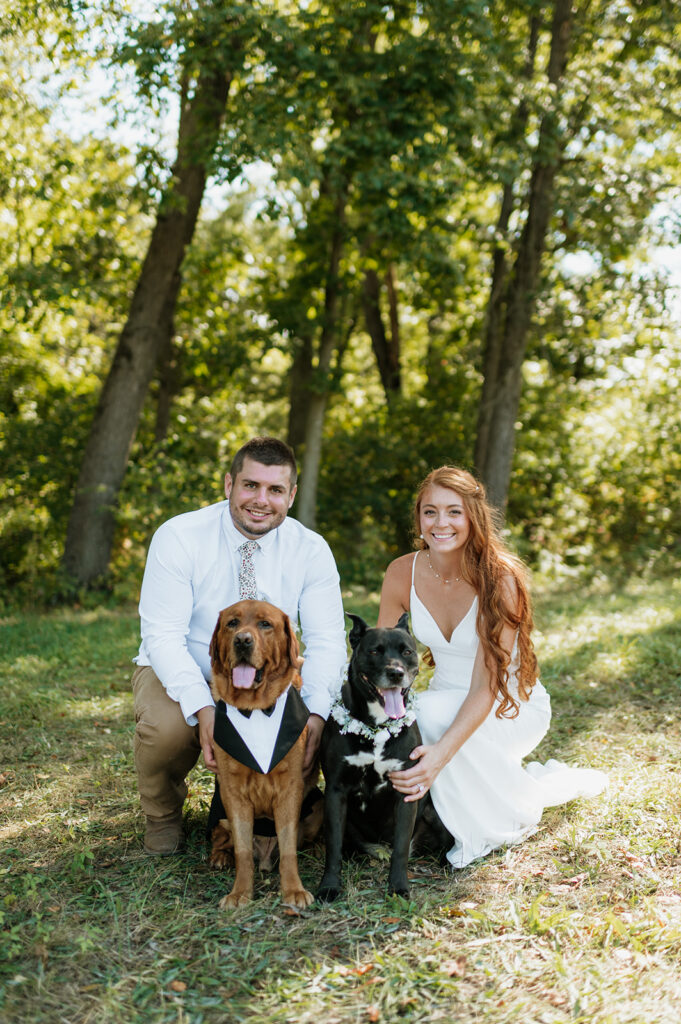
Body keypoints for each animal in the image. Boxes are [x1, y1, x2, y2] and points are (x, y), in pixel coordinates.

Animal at [209, 598, 313, 909]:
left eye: (266, 624)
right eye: (232, 623)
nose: (243, 640)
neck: (255, 710)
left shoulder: (290, 788)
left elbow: (289, 849)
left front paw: (293, 890)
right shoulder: (233, 793)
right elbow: (242, 851)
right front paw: (240, 893)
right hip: (221, 815)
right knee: (223, 838)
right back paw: (219, 856)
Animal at [317, 610, 450, 901]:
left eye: (407, 651)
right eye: (374, 651)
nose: (396, 672)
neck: (377, 726)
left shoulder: (406, 791)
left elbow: (400, 848)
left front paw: (398, 886)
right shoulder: (335, 791)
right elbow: (333, 847)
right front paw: (329, 886)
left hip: (433, 811)